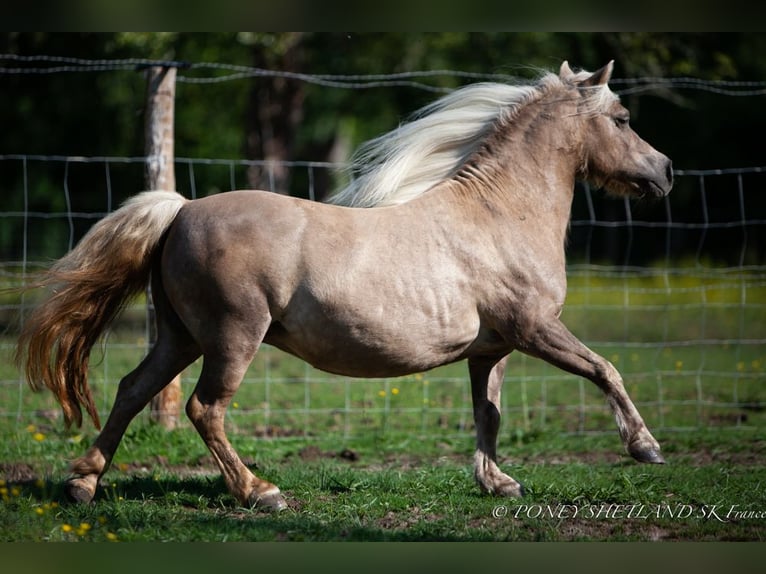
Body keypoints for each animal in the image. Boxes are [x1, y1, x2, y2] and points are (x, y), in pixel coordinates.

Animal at [16, 62, 672, 512]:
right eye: (622, 119)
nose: (665, 171)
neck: (498, 215)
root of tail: (181, 210)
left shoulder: (492, 349)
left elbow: (488, 412)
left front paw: (497, 483)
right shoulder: (537, 329)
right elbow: (605, 369)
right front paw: (646, 448)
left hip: (181, 337)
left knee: (132, 390)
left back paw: (82, 484)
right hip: (232, 338)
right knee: (205, 408)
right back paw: (260, 492)